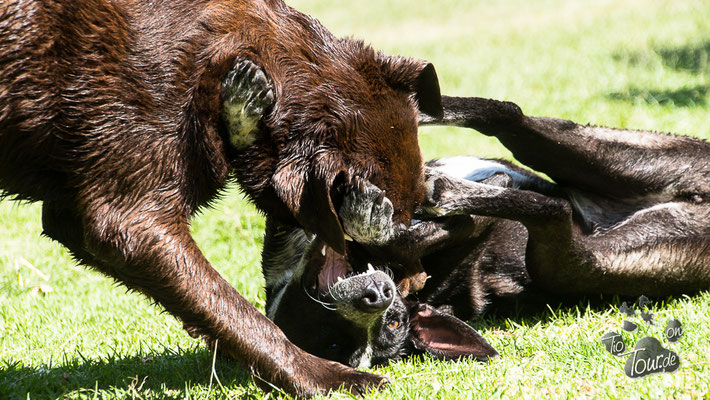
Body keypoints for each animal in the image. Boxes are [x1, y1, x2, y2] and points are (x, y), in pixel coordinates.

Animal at [0, 0, 444, 396]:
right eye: (390, 230)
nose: (404, 288)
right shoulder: (130, 221)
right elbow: (241, 314)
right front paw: (325, 377)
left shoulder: (77, 219)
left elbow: (217, 312)